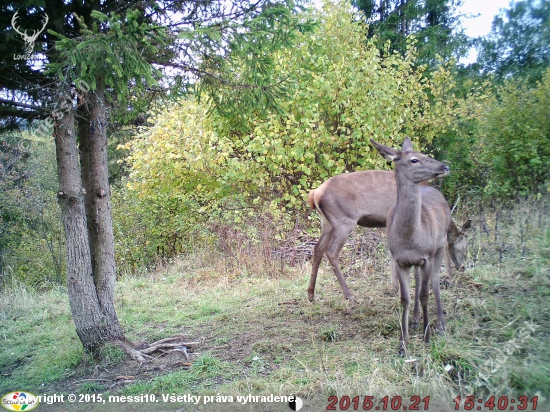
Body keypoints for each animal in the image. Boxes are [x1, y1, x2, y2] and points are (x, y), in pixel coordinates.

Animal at [308, 171, 472, 302]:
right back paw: (349, 295)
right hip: (344, 220)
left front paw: (394, 287)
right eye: (465, 247)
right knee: (331, 251)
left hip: (327, 223)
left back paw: (311, 294)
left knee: (318, 248)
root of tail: (314, 194)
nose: (463, 267)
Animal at [370, 138, 452, 354]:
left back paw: (441, 324)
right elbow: (404, 298)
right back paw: (415, 320)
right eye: (414, 159)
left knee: (435, 281)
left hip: (441, 245)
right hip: (417, 261)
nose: (445, 166)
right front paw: (403, 343)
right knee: (418, 278)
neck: (410, 239)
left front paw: (427, 337)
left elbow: (424, 294)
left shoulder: (427, 256)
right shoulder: (400, 259)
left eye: (425, 154)